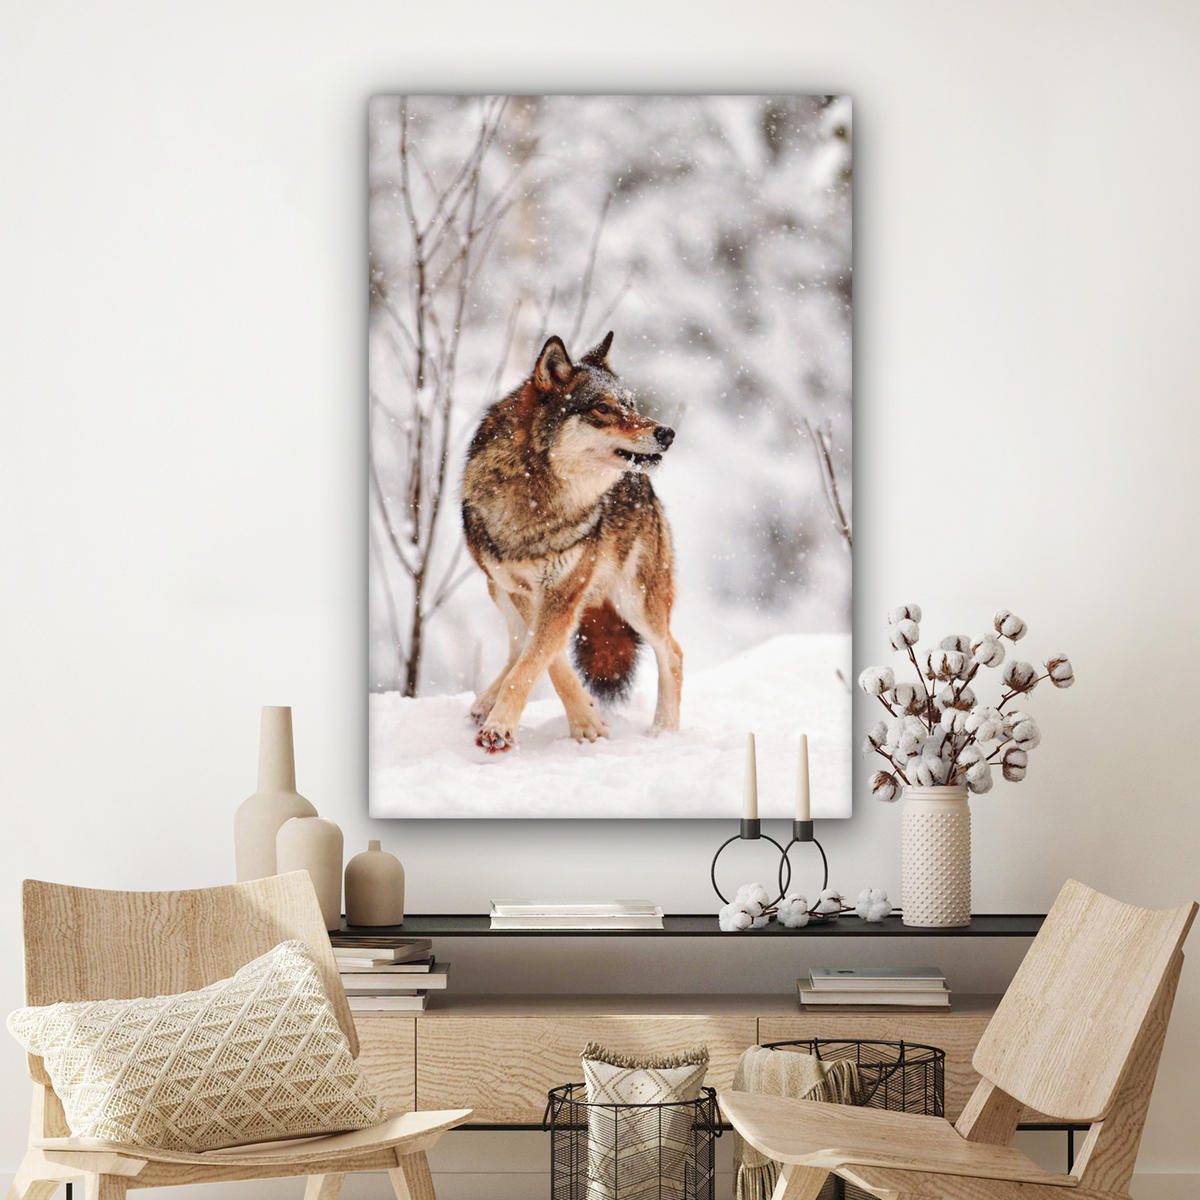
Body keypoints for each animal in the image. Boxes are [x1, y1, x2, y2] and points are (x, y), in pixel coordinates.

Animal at [461, 331, 682, 753]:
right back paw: (483, 703)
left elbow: (535, 662)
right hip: (497, 589)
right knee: (516, 647)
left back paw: (664, 732)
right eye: (603, 408)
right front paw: (585, 719)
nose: (667, 433)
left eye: (631, 404)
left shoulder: (563, 591)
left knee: (673, 654)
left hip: (635, 600)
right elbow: (545, 661)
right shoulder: (524, 590)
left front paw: (503, 728)